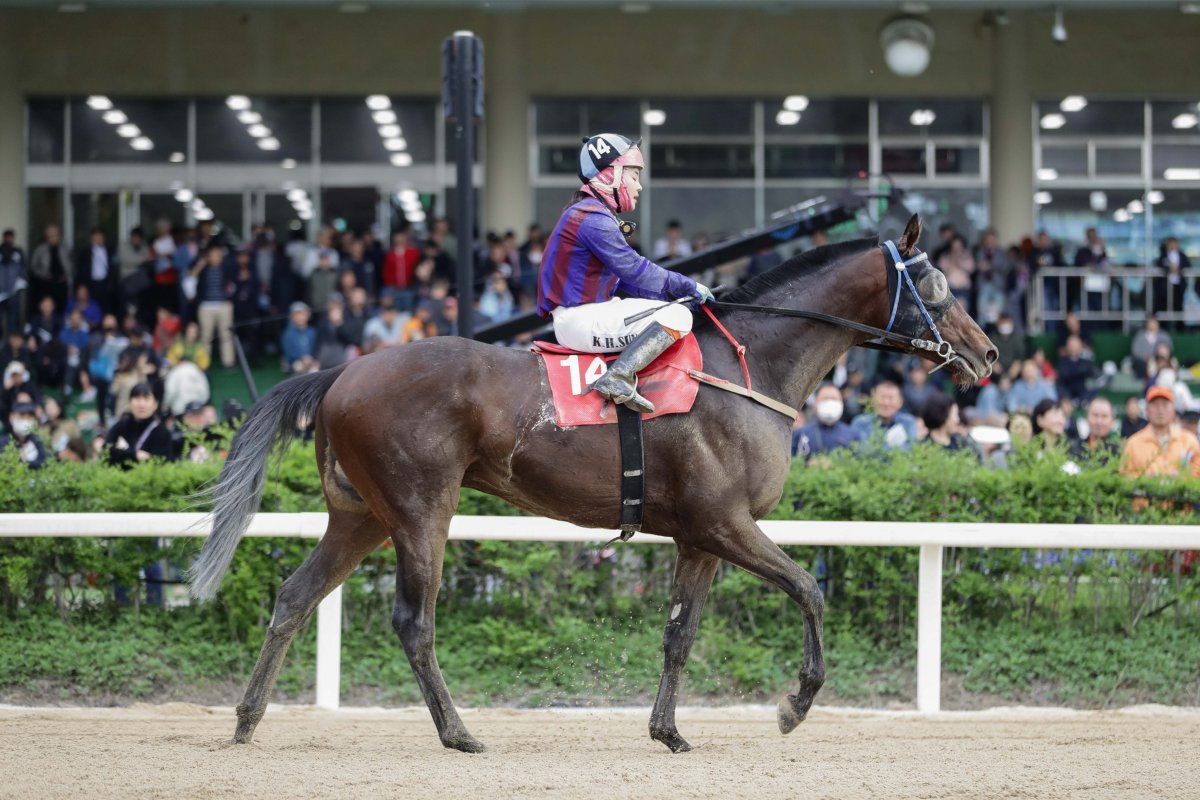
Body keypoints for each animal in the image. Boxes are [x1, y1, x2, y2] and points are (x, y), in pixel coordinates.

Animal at [187, 212, 993, 753]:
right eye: (938, 287)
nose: (987, 355)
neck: (749, 366)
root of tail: (344, 372)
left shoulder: (699, 537)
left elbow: (680, 633)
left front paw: (668, 731)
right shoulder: (728, 523)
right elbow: (809, 589)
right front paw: (794, 704)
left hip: (360, 517)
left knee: (294, 598)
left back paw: (246, 721)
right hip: (420, 511)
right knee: (414, 621)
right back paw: (459, 732)